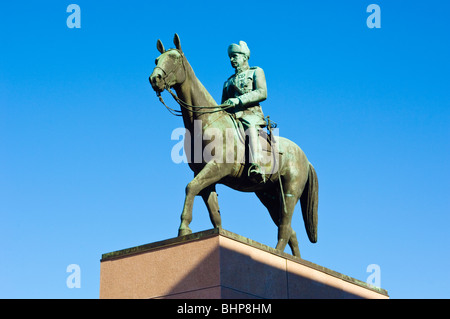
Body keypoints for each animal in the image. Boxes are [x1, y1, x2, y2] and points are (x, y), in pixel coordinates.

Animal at [148, 34, 316, 258]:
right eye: (157, 60)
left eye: (174, 58)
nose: (154, 79)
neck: (206, 121)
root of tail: (305, 157)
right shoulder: (205, 174)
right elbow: (212, 209)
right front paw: (216, 233)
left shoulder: (217, 168)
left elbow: (190, 188)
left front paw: (184, 228)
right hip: (269, 196)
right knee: (290, 230)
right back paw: (293, 259)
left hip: (289, 192)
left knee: (285, 226)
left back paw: (276, 253)